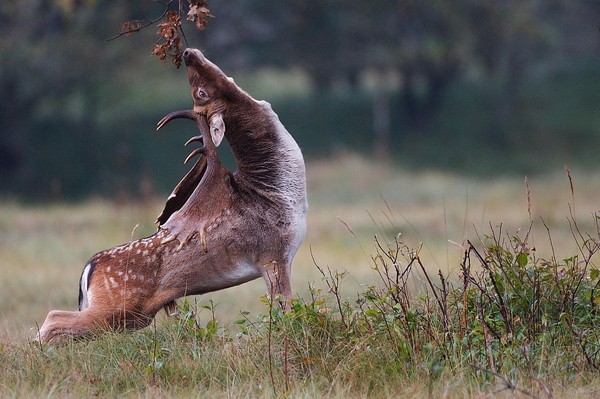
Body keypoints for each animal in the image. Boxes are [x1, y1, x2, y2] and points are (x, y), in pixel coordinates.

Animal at [36, 49, 310, 344]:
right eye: (201, 92)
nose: (189, 53)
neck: (279, 192)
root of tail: (90, 266)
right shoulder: (273, 254)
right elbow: (285, 309)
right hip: (117, 307)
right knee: (54, 317)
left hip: (128, 315)